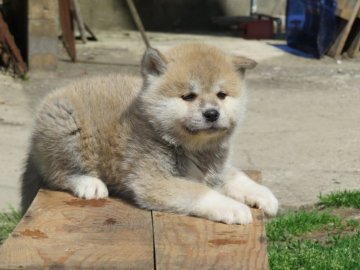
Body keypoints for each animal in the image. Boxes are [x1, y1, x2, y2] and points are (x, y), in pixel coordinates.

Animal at [21, 43, 278, 224]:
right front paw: (234, 208)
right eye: (188, 96)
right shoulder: (154, 180)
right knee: (56, 174)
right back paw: (89, 183)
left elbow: (238, 177)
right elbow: (201, 192)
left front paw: (264, 195)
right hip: (67, 129)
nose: (212, 114)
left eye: (222, 95)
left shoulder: (217, 169)